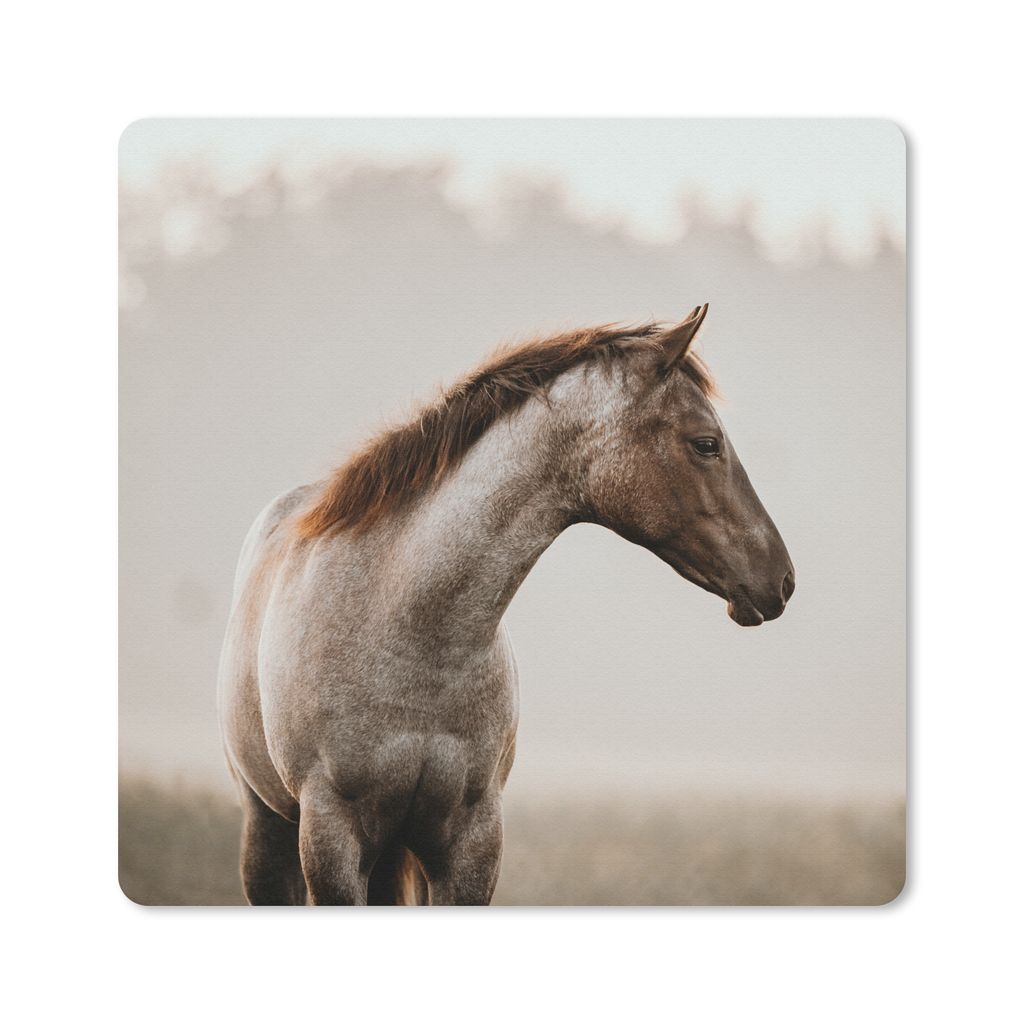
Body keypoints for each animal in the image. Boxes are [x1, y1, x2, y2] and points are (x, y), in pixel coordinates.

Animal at [217, 303, 795, 906]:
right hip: (270, 834)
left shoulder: (471, 842)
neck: (408, 628)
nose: (781, 579)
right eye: (706, 443)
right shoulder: (332, 840)